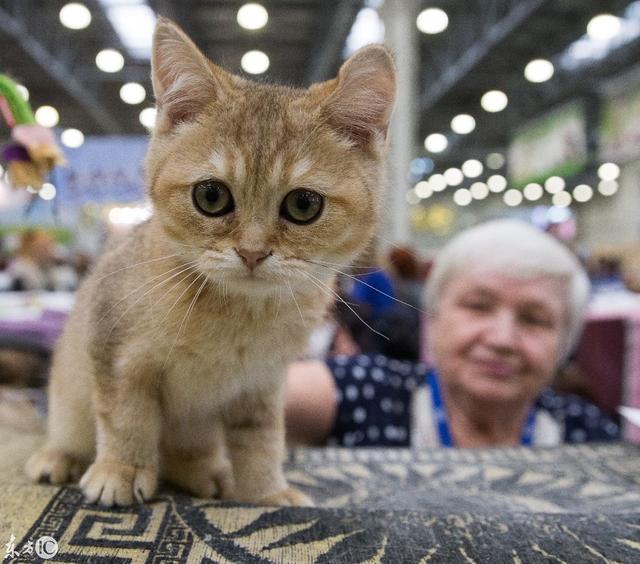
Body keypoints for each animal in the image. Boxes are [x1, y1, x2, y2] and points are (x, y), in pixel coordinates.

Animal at [26, 17, 396, 504]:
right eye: (211, 197)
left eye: (303, 205)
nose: (253, 252)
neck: (236, 313)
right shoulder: (118, 354)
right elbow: (126, 417)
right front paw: (121, 469)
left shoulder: (262, 385)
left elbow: (262, 441)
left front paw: (267, 493)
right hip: (68, 394)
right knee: (70, 430)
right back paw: (58, 458)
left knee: (187, 453)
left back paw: (207, 473)